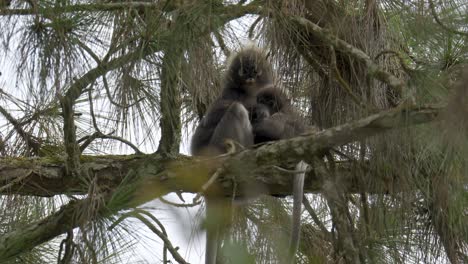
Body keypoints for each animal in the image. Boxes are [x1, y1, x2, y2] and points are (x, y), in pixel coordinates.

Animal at [191, 47, 274, 264]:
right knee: (236, 109)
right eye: (244, 70)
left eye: (255, 70)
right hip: (217, 147)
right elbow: (216, 114)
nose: (250, 76)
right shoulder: (232, 94)